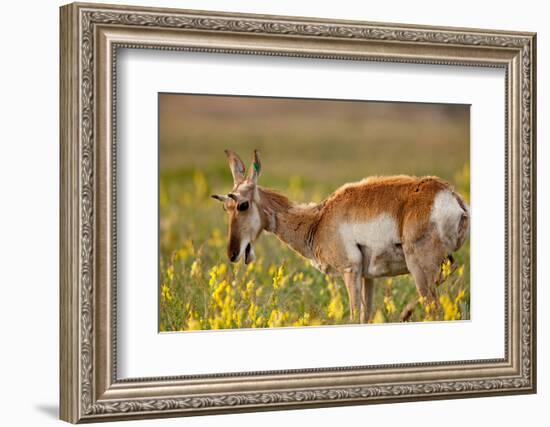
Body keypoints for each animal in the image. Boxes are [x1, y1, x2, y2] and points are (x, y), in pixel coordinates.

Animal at [211, 150, 470, 324]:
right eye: (225, 207)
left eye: (243, 205)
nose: (232, 254)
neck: (319, 218)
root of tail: (450, 195)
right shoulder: (368, 278)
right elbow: (365, 317)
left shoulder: (350, 271)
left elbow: (354, 317)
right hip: (439, 264)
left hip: (419, 267)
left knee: (434, 308)